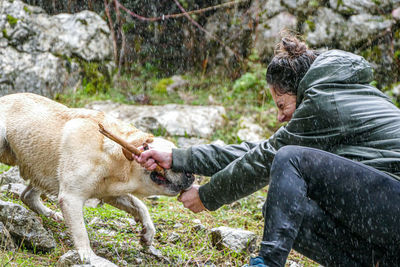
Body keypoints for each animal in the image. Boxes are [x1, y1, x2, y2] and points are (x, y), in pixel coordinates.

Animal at [0, 93, 194, 266]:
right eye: (174, 161)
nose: (192, 176)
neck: (115, 157)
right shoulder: (71, 197)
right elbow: (81, 231)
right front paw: (89, 256)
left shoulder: (111, 193)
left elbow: (140, 205)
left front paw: (148, 232)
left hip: (42, 168)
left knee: (27, 195)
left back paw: (50, 214)